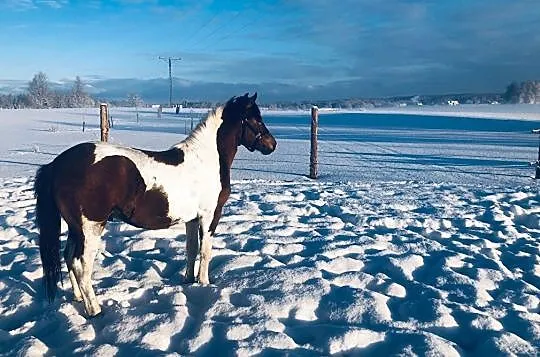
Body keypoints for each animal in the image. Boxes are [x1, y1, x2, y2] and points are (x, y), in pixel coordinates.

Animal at [34, 92, 274, 314]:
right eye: (255, 119)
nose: (272, 145)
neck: (206, 159)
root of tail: (57, 165)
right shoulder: (209, 216)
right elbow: (205, 251)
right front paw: (204, 283)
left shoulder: (192, 218)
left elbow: (191, 249)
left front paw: (188, 280)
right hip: (91, 229)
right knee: (82, 266)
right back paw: (94, 310)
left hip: (75, 229)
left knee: (69, 259)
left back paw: (77, 298)